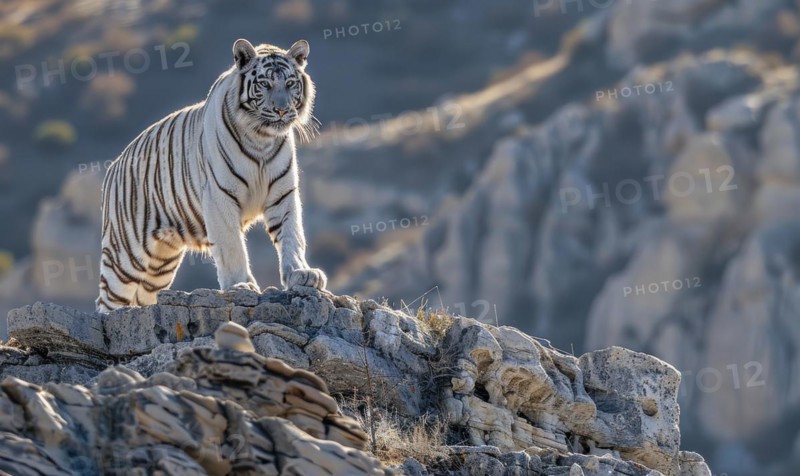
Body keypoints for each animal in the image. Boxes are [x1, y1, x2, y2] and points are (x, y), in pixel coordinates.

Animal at [96, 38, 327, 312]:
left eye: (290, 84)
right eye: (265, 84)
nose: (282, 110)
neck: (262, 139)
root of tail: (115, 164)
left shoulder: (283, 194)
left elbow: (292, 234)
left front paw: (302, 273)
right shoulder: (220, 196)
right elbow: (232, 245)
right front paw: (240, 285)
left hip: (160, 265)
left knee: (144, 296)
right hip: (126, 256)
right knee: (107, 301)